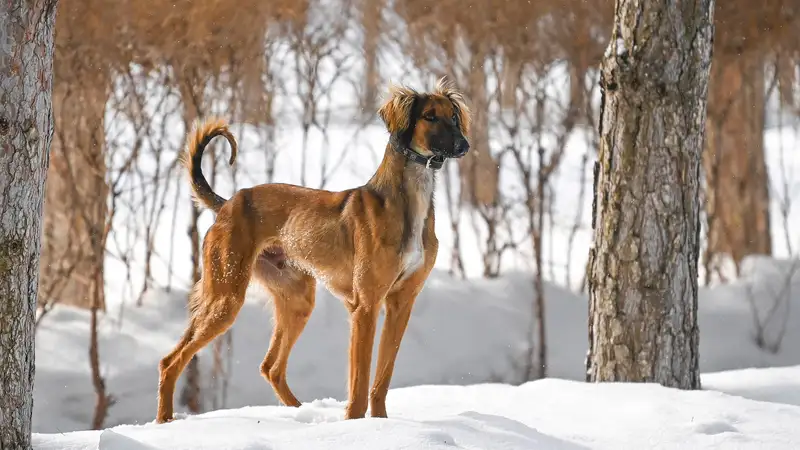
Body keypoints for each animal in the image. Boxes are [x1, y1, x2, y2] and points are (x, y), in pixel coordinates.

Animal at [156, 75, 468, 424]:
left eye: (454, 117)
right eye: (429, 116)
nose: (463, 146)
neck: (408, 202)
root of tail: (228, 204)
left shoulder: (401, 304)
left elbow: (381, 380)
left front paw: (380, 424)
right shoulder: (366, 306)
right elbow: (360, 383)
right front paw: (355, 424)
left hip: (296, 299)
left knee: (271, 367)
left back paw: (300, 414)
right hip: (226, 296)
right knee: (170, 361)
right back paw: (164, 420)